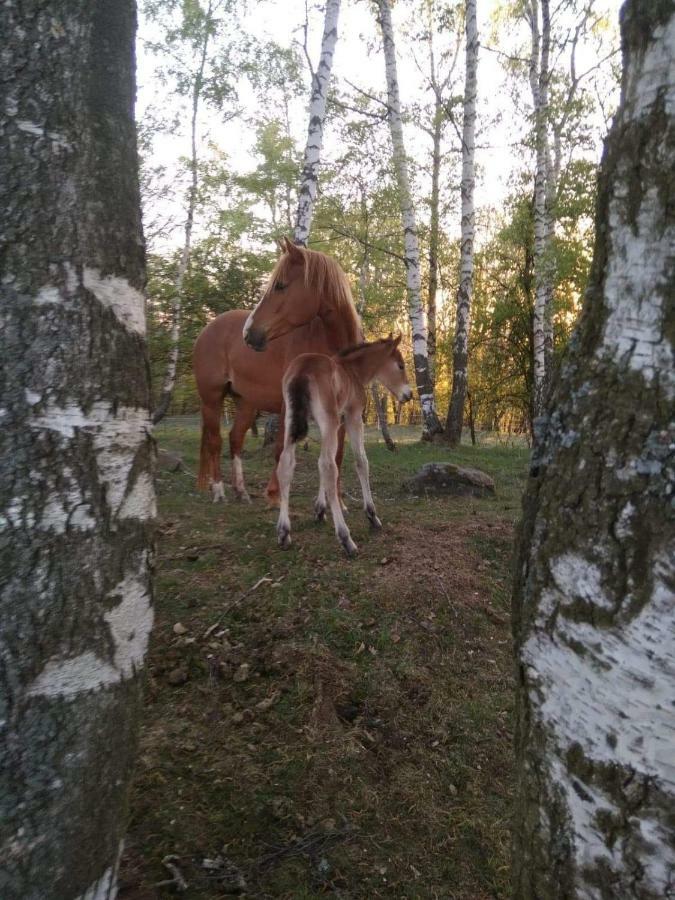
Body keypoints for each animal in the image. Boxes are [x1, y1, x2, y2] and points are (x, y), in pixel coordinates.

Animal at [194, 239, 362, 502]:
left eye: (280, 285)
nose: (248, 334)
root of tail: (208, 329)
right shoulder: (288, 408)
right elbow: (281, 451)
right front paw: (275, 495)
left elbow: (337, 455)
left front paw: (337, 501)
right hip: (212, 399)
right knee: (214, 441)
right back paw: (219, 491)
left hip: (246, 403)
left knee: (235, 439)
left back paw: (241, 491)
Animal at [276, 336, 412, 556]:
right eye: (401, 365)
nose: (409, 395)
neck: (353, 372)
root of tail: (302, 370)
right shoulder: (352, 417)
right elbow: (361, 461)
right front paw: (372, 515)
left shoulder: (329, 424)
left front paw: (320, 509)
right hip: (329, 420)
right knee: (327, 466)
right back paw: (346, 538)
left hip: (291, 420)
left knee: (287, 464)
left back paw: (283, 532)